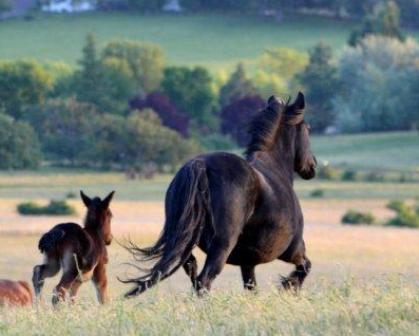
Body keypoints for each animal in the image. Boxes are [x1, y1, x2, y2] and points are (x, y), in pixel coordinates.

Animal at [123, 92, 316, 296]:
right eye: (308, 129)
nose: (312, 166)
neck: (276, 169)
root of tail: (201, 166)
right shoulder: (293, 250)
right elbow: (305, 267)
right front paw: (289, 287)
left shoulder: (248, 263)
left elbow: (252, 288)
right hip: (221, 246)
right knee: (203, 280)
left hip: (184, 240)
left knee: (192, 271)